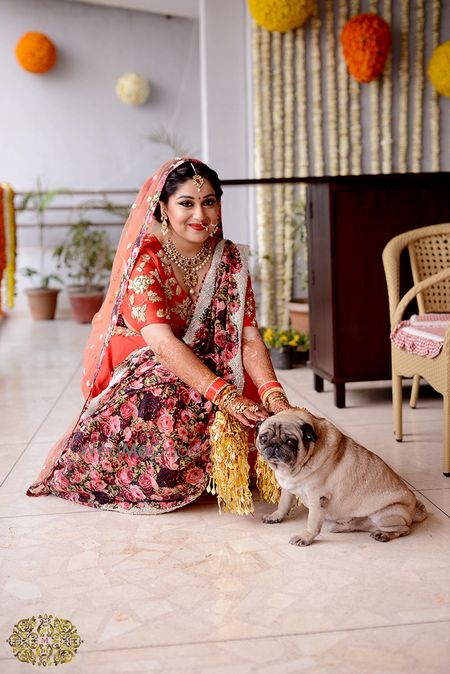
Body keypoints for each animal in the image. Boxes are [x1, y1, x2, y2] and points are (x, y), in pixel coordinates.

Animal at [255, 406, 428, 544]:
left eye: (291, 442)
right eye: (263, 438)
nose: (275, 446)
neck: (292, 469)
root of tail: (414, 510)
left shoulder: (317, 498)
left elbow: (312, 522)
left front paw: (306, 537)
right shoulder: (288, 489)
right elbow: (283, 504)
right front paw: (276, 516)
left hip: (387, 514)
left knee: (404, 529)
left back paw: (383, 535)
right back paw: (341, 527)